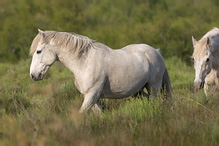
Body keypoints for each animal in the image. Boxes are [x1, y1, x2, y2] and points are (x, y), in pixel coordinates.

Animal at [30, 29, 172, 113]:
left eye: (39, 51)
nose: (33, 75)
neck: (85, 62)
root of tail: (157, 52)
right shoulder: (94, 98)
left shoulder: (91, 95)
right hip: (138, 91)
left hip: (153, 86)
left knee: (153, 101)